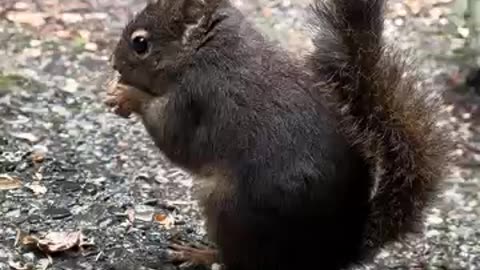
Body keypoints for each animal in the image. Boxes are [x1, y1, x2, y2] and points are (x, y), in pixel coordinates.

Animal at [104, 0, 454, 270]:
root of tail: (335, 251)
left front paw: (128, 97)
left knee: (239, 261)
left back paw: (202, 254)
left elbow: (175, 139)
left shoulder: (196, 96)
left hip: (228, 206)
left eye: (140, 43)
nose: (113, 62)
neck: (202, 50)